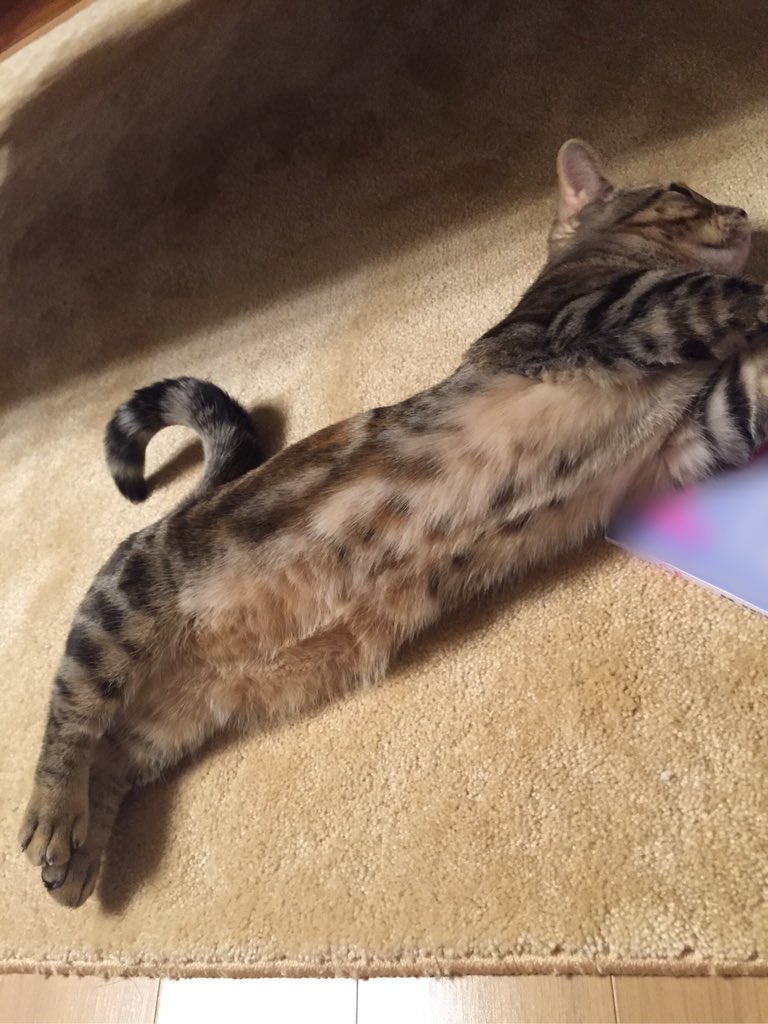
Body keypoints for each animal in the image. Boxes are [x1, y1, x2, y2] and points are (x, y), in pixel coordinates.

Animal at [19, 139, 768, 908]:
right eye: (682, 190)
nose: (742, 210)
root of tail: (184, 506)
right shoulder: (595, 318)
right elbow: (721, 294)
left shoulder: (694, 435)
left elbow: (747, 376)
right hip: (120, 616)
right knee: (70, 721)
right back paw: (52, 820)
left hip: (172, 721)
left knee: (110, 757)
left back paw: (75, 860)